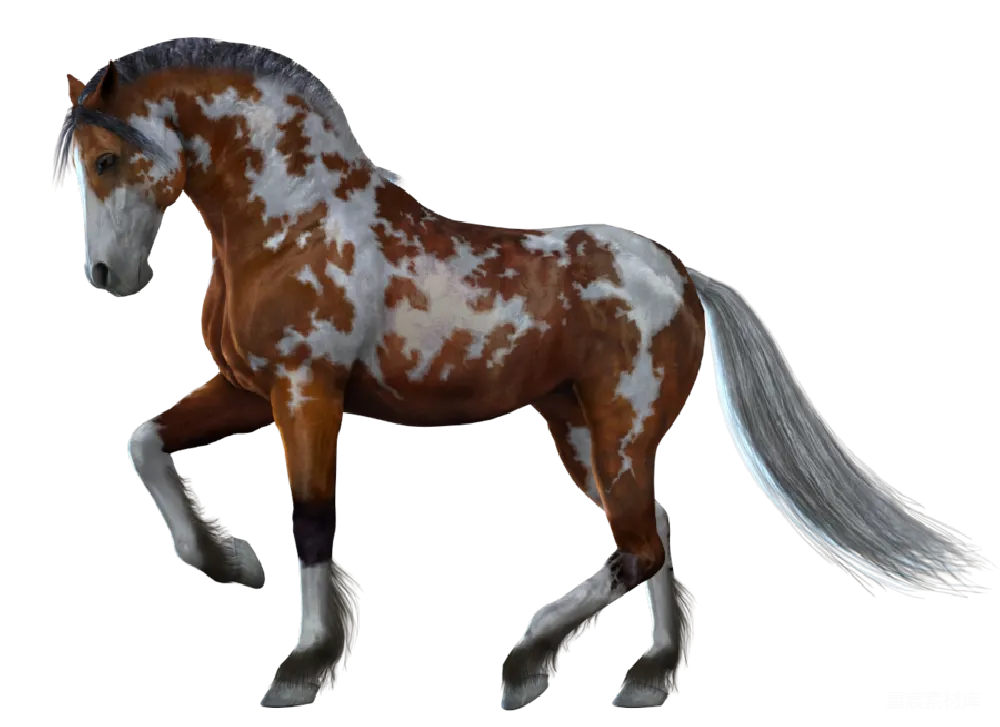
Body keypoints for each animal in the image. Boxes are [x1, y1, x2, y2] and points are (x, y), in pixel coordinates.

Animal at [57, 37, 988, 710]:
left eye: (106, 160)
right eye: (79, 165)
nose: (105, 276)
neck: (293, 219)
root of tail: (683, 277)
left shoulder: (305, 392)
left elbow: (313, 520)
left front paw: (304, 664)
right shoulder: (251, 391)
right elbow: (143, 439)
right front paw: (224, 560)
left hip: (616, 428)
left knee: (639, 546)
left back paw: (527, 658)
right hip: (580, 429)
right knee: (649, 533)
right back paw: (647, 676)